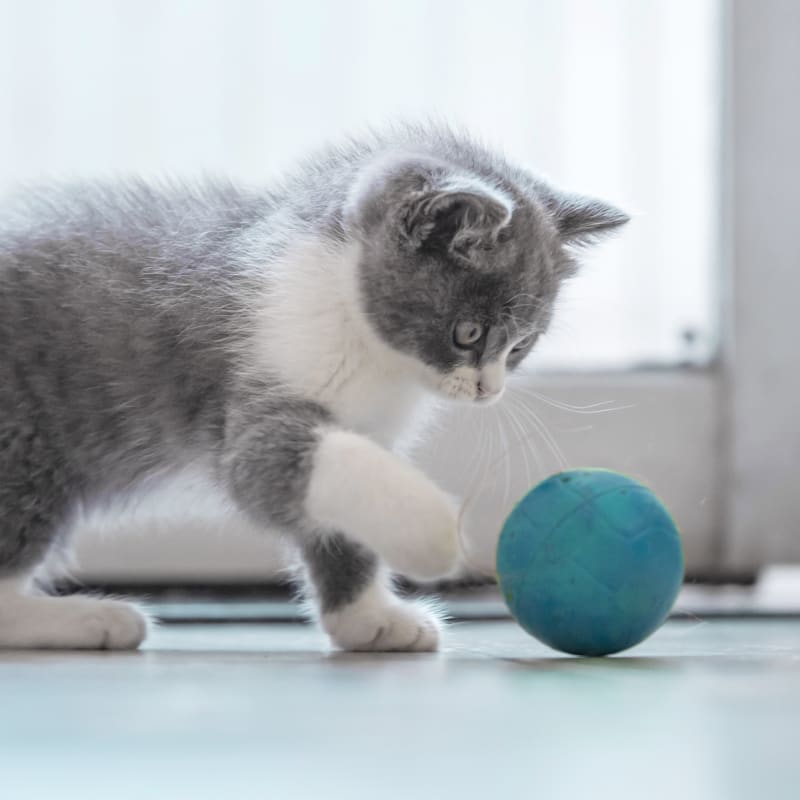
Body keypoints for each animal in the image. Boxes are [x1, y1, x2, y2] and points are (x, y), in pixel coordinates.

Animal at [0, 123, 624, 648]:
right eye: (469, 333)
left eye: (520, 346)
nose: (487, 390)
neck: (371, 350)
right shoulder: (254, 397)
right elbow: (288, 468)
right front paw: (437, 534)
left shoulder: (363, 428)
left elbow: (344, 509)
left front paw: (368, 619)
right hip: (25, 445)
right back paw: (89, 619)